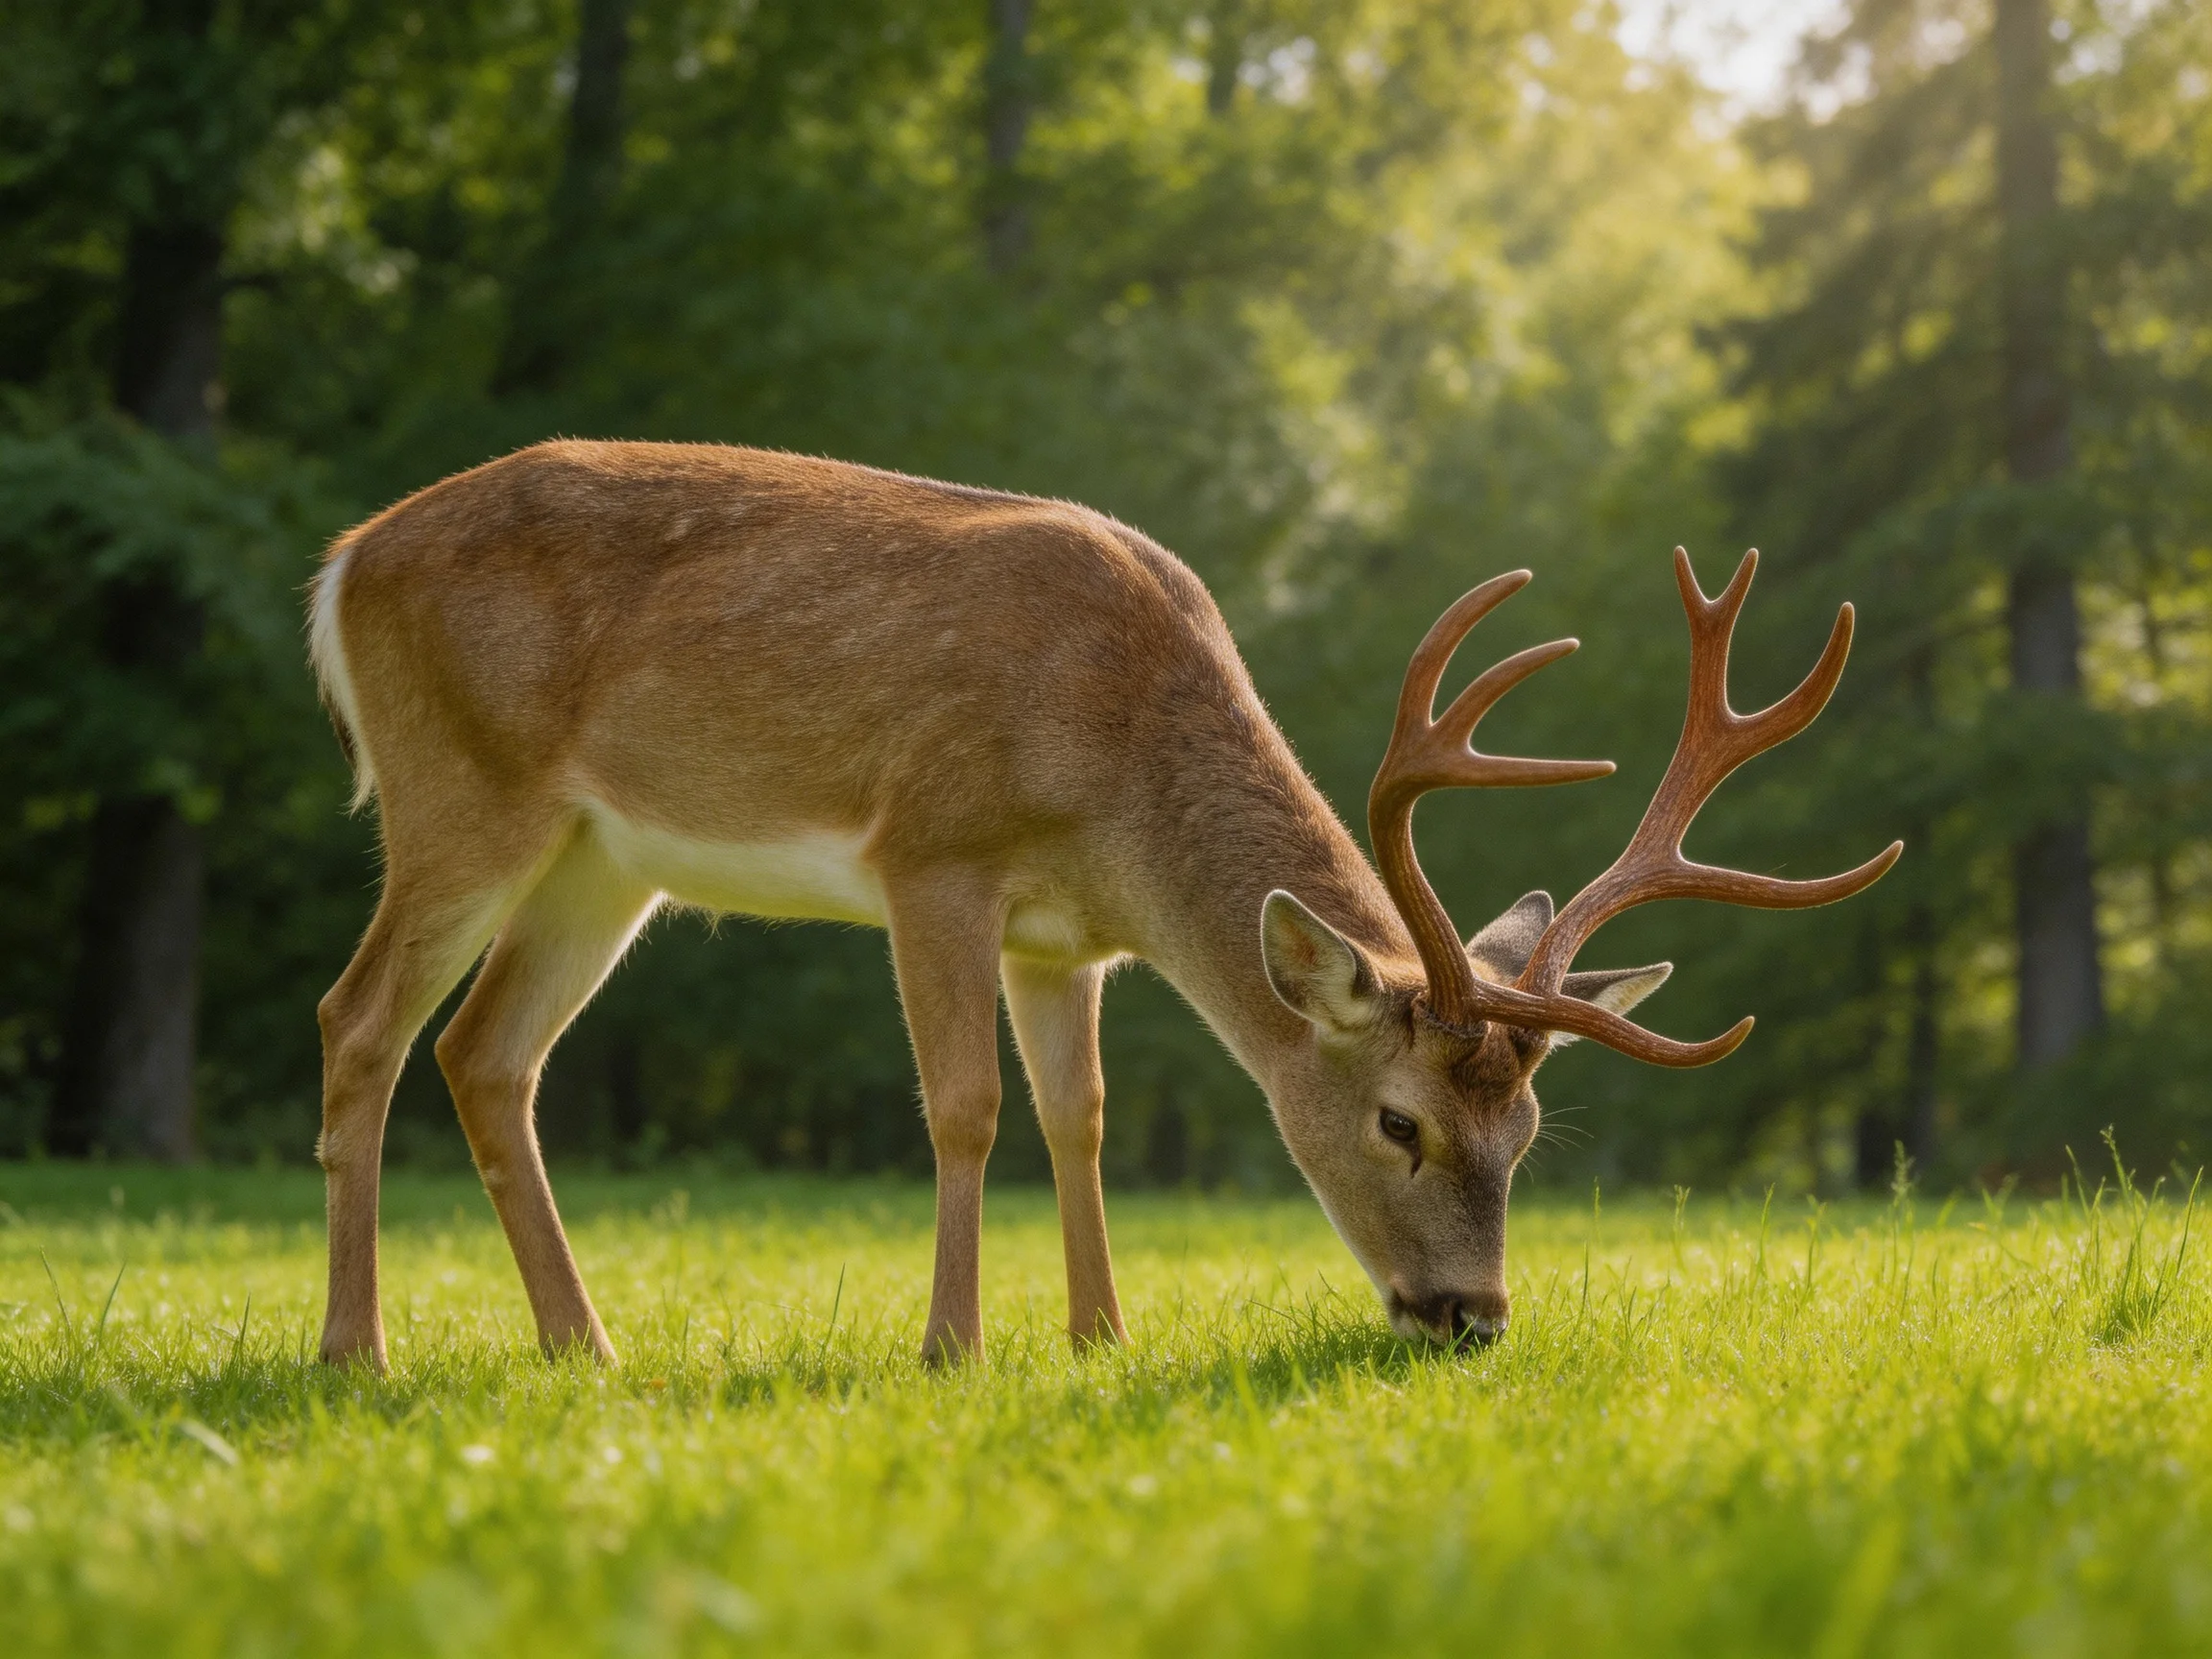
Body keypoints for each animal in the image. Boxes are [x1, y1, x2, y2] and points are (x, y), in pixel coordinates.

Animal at [306, 439, 1900, 1370]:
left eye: (1529, 1134)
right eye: (1401, 1123)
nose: (1469, 1319)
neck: (1117, 776)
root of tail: (342, 564)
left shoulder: (1064, 938)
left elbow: (1080, 1116)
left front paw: (1100, 1336)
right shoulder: (934, 852)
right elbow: (967, 1109)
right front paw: (954, 1350)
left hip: (604, 856)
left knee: (486, 1053)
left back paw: (585, 1348)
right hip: (462, 786)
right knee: (359, 1018)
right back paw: (355, 1350)